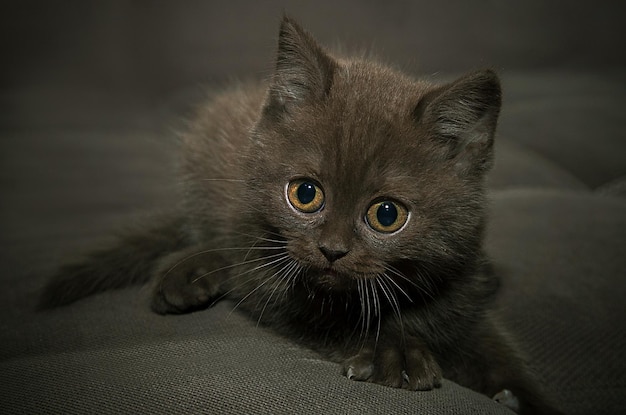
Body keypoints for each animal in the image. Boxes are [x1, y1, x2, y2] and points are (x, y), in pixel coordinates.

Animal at [42, 14, 560, 414]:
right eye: (305, 193)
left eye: (387, 215)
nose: (331, 250)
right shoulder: (271, 279)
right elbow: (317, 312)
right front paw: (391, 353)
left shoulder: (462, 291)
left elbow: (496, 350)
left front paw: (521, 396)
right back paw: (191, 273)